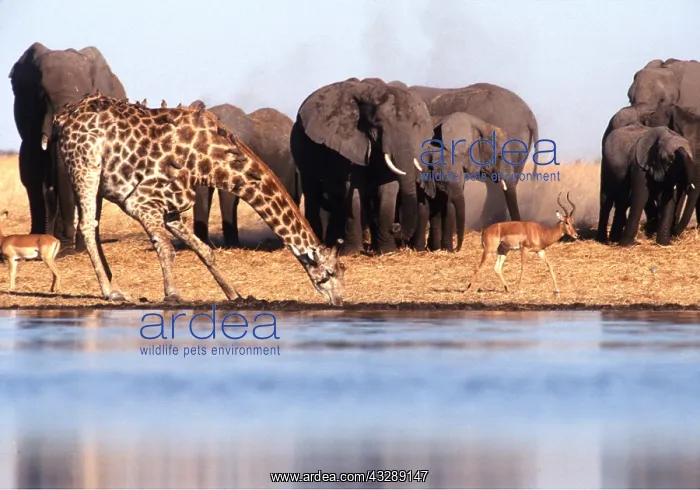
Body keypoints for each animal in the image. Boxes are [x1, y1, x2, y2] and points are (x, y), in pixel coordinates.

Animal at [50, 92, 345, 305]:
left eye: (342, 272)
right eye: (328, 274)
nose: (339, 301)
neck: (208, 163)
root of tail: (62, 118)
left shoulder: (171, 210)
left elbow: (205, 251)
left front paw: (235, 294)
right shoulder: (143, 203)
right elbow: (166, 248)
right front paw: (172, 295)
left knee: (93, 226)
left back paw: (111, 284)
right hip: (85, 165)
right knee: (87, 225)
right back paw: (111, 292)